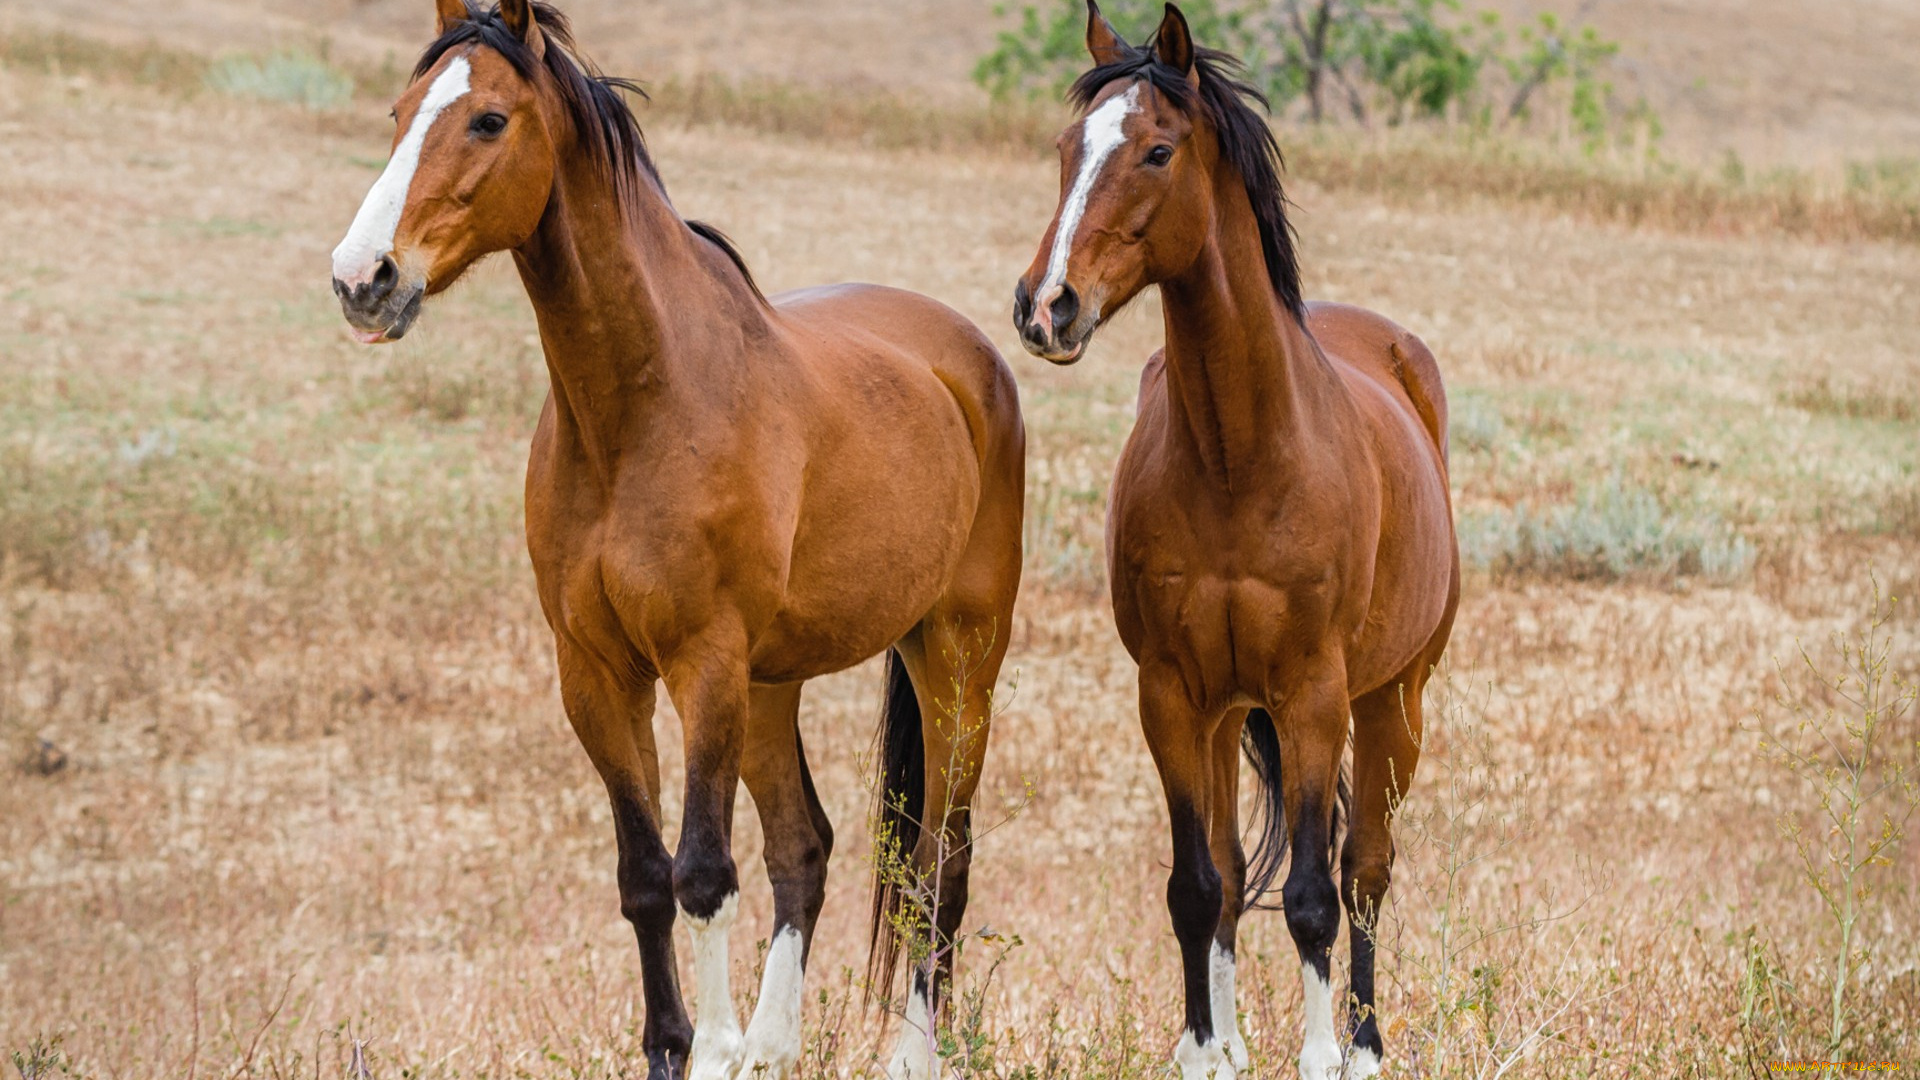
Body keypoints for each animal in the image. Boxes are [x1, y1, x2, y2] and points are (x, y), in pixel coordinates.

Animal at [330, 2, 1029, 1076]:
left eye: (488, 119)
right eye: (400, 114)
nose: (364, 279)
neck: (643, 405)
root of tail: (972, 358)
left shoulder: (702, 662)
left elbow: (702, 874)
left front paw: (711, 1049)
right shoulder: (596, 673)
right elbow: (645, 876)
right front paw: (677, 1047)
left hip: (955, 655)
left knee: (938, 858)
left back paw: (912, 1052)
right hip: (773, 683)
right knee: (805, 846)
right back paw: (776, 1048)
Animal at [1006, 4, 1451, 1068]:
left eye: (1158, 151)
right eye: (1064, 151)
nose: (1046, 306)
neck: (1240, 460)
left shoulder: (1313, 697)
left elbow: (1314, 896)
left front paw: (1324, 1058)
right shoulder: (1171, 694)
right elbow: (1198, 885)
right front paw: (1206, 1053)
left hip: (1393, 702)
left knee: (1365, 869)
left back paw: (1366, 1045)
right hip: (1224, 716)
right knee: (1232, 869)